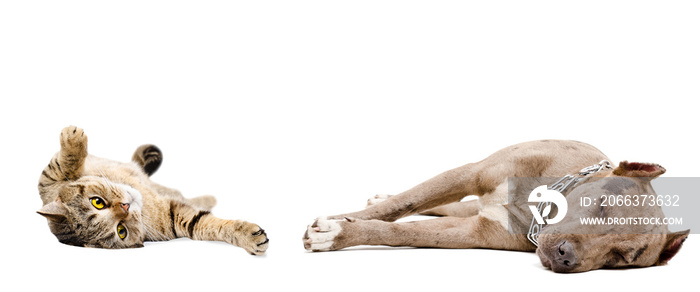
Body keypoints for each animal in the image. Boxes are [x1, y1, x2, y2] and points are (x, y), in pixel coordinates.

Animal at [37, 126, 270, 254]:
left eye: (97, 202)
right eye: (121, 231)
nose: (126, 206)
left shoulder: (47, 183)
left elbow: (62, 165)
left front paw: (72, 139)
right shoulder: (180, 219)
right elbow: (207, 223)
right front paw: (249, 237)